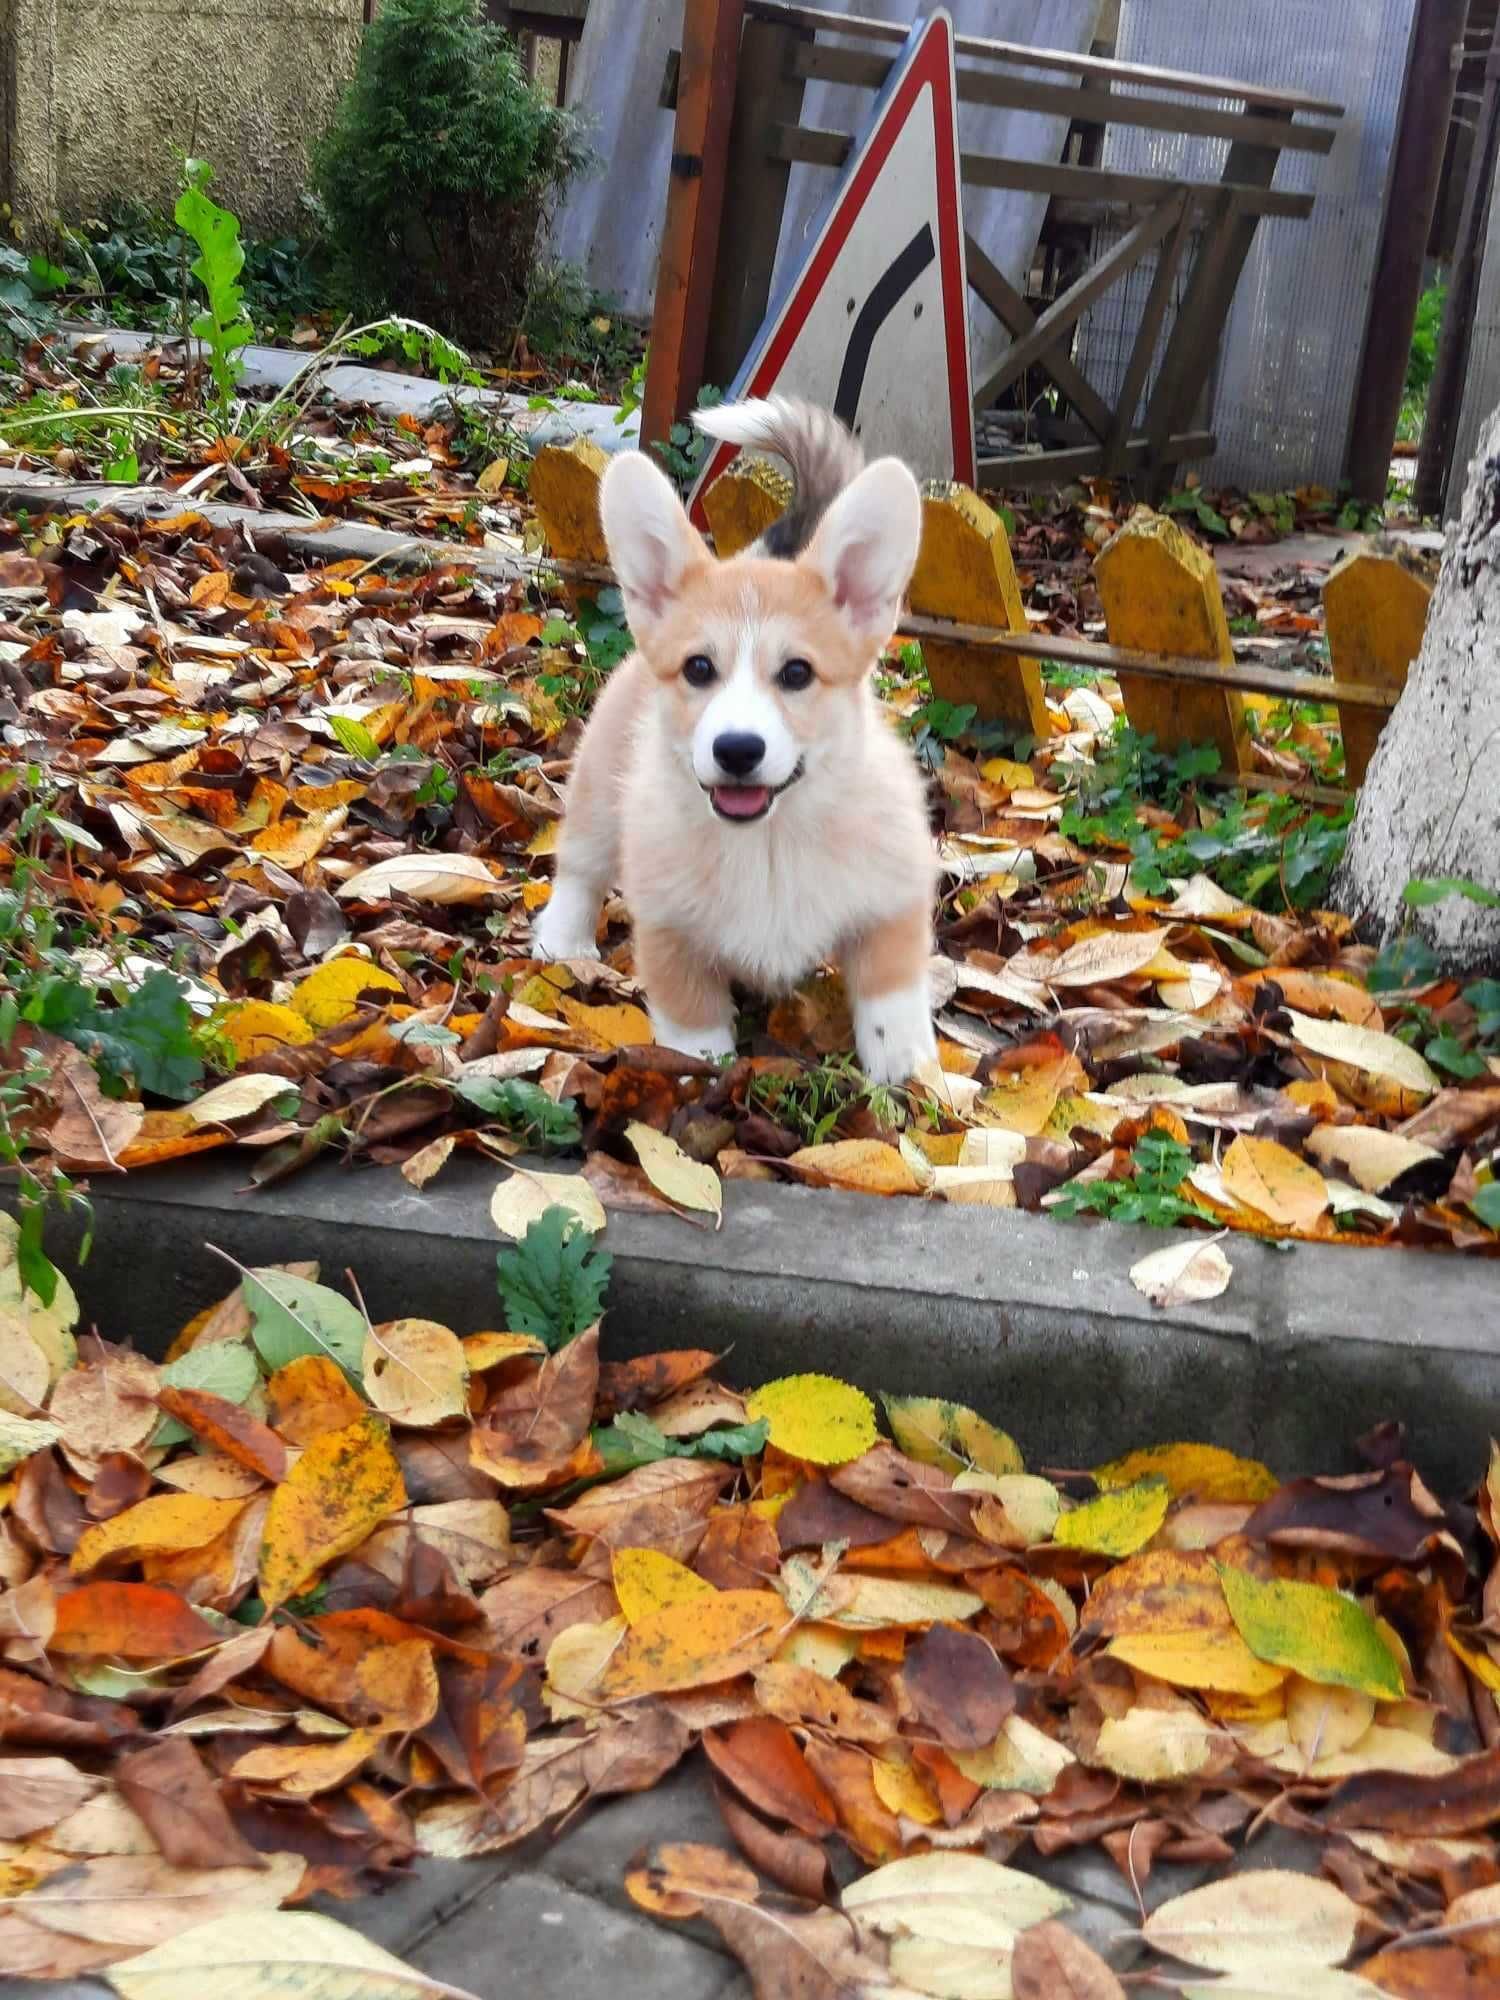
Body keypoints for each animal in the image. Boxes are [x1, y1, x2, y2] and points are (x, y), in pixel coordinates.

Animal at [536, 398, 940, 1088]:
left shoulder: (892, 902)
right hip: (597, 795)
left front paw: (909, 1078)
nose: (738, 750)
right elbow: (692, 1024)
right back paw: (562, 938)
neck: (769, 846)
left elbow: (891, 1000)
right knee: (581, 868)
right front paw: (702, 1075)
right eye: (699, 668)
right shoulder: (669, 929)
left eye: (797, 674)